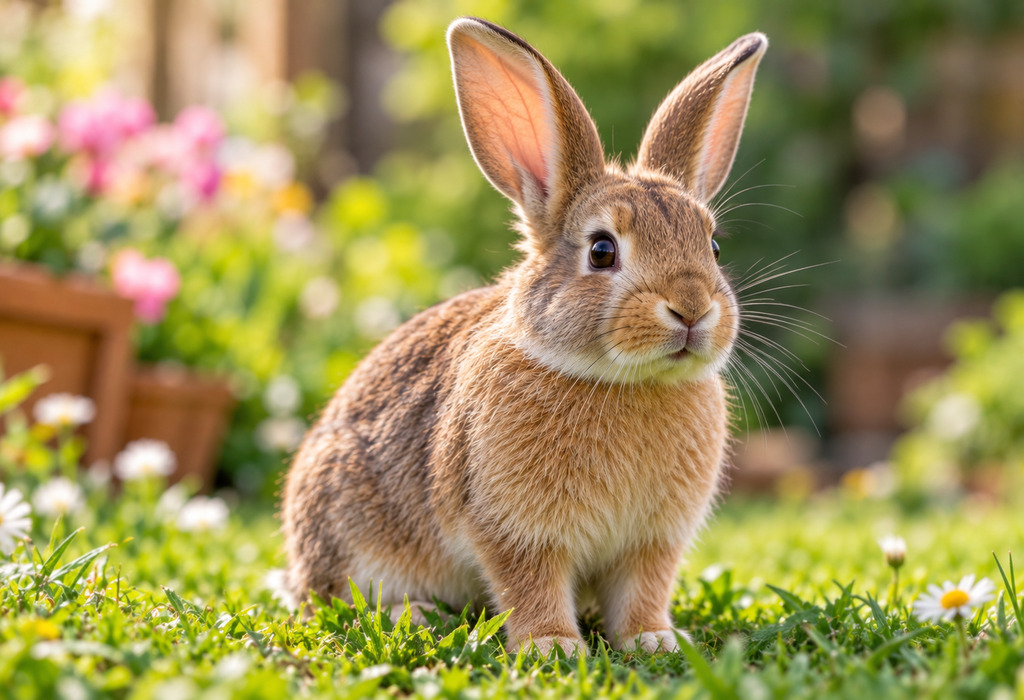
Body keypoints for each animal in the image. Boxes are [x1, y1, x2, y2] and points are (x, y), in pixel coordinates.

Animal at [282, 16, 767, 657]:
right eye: (602, 250)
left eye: (712, 246)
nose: (692, 309)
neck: (625, 381)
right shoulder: (512, 528)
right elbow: (529, 583)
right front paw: (552, 646)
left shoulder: (653, 541)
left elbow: (644, 588)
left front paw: (653, 639)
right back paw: (414, 615)